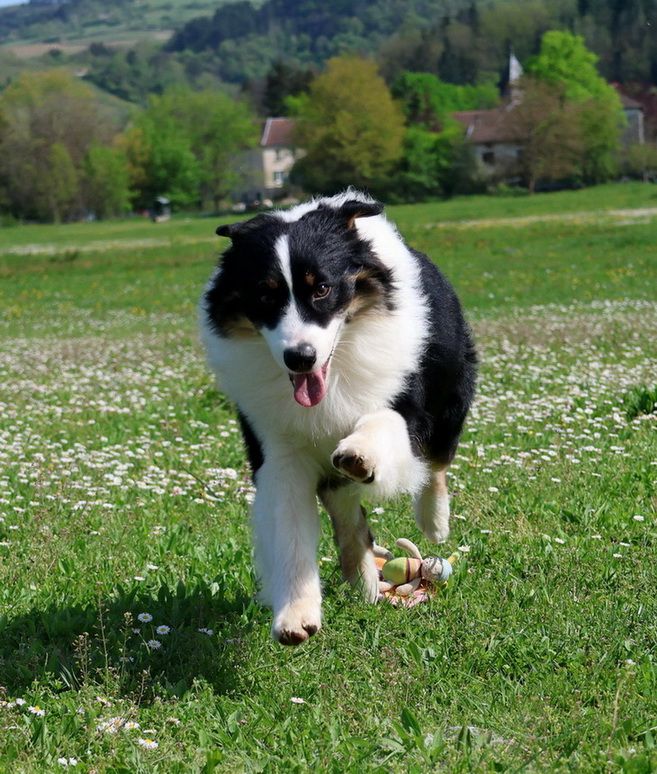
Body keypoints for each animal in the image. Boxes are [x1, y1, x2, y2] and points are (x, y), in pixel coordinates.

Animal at [197, 191, 474, 644]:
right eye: (265, 295)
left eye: (323, 288)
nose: (300, 357)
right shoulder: (279, 450)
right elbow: (290, 532)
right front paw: (296, 615)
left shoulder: (406, 402)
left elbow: (387, 423)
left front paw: (361, 453)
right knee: (347, 514)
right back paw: (363, 579)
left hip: (450, 390)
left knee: (436, 462)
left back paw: (433, 521)